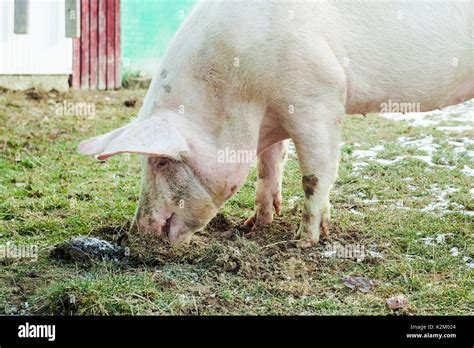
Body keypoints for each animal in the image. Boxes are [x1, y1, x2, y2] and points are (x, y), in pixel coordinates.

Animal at [78, 2, 474, 247]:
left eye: (161, 161)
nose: (137, 232)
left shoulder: (319, 97)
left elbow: (316, 174)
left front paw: (301, 242)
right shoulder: (271, 116)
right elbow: (268, 166)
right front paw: (253, 226)